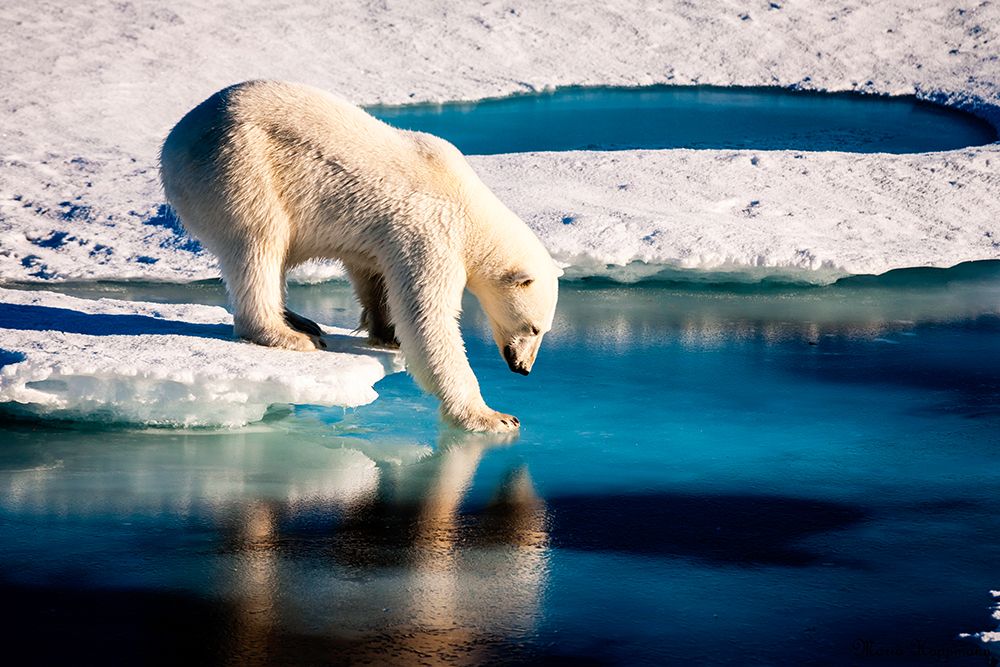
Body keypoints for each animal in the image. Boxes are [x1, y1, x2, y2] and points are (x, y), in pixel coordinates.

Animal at [160, 81, 561, 433]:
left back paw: (300, 320)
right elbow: (428, 319)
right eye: (533, 328)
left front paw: (387, 333)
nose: (523, 368)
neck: (469, 206)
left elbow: (373, 275)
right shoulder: (432, 233)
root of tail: (174, 140)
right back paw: (288, 334)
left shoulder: (385, 237)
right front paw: (494, 417)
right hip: (240, 167)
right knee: (259, 242)